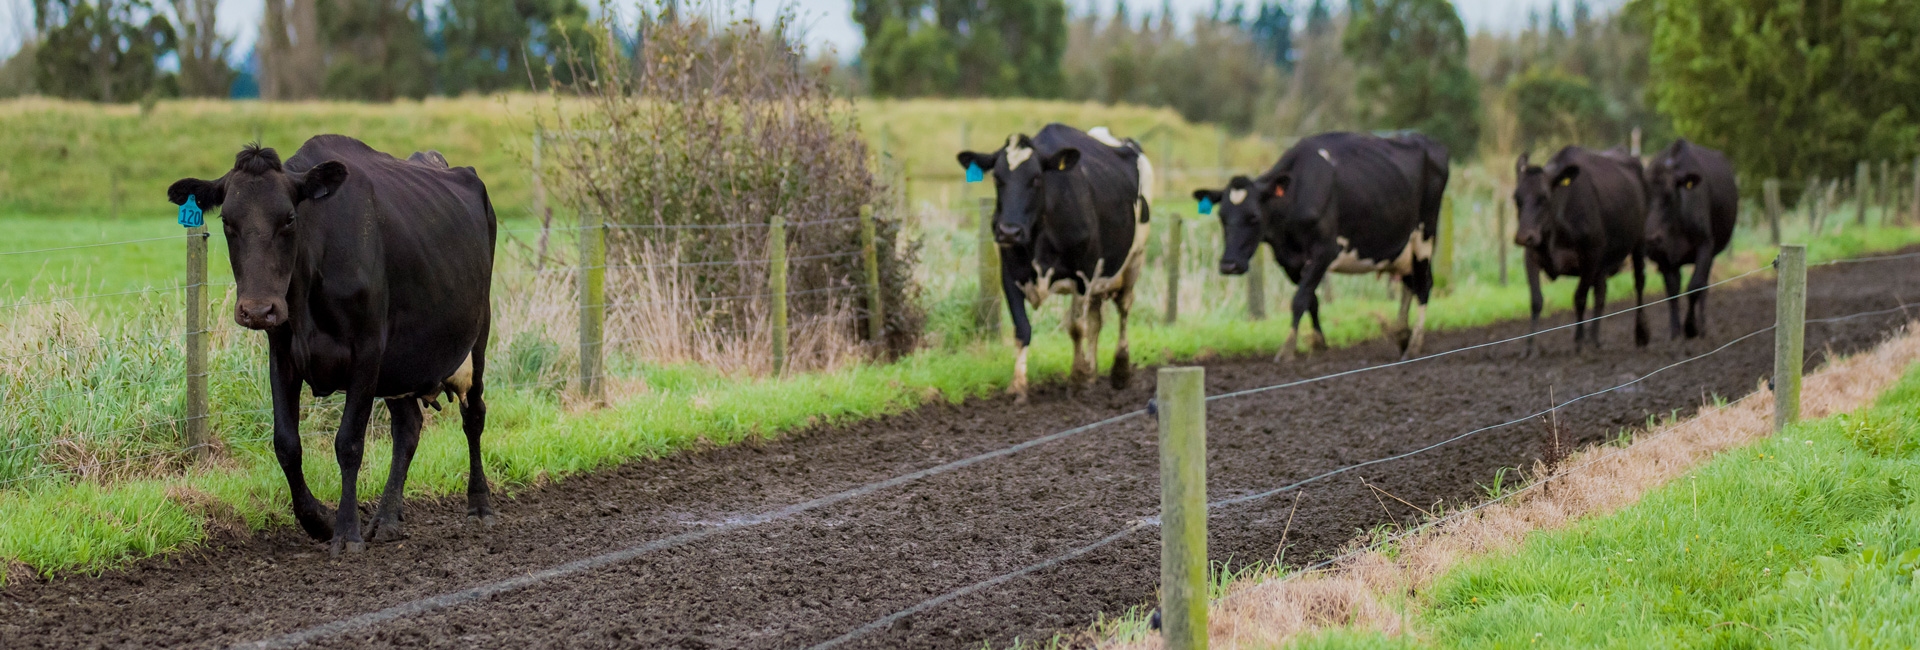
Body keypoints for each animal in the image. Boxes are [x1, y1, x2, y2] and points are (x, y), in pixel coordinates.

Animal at [168, 137, 495, 556]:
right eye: (227, 221)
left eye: (290, 218)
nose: (258, 310)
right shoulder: (283, 354)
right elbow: (286, 444)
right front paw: (319, 520)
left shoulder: (368, 350)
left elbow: (349, 442)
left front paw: (347, 532)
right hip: (401, 365)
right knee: (408, 427)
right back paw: (387, 518)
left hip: (477, 335)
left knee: (474, 416)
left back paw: (479, 506)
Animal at [960, 124, 1152, 404]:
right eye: (997, 178)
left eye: (1036, 179)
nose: (1009, 231)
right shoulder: (1010, 275)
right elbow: (1022, 329)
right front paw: (1018, 386)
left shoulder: (1083, 275)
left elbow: (1076, 327)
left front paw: (1077, 382)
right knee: (1096, 320)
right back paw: (1092, 371)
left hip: (1134, 260)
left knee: (1124, 308)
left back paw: (1120, 371)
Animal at [1190, 132, 1443, 362]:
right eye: (1222, 217)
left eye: (1253, 217)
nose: (1229, 265)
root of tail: (1424, 139)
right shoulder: (1289, 261)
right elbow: (1310, 299)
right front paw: (1320, 343)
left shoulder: (1324, 251)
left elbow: (1299, 299)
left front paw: (1287, 349)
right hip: (1403, 248)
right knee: (1409, 283)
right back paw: (1402, 335)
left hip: (1425, 236)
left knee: (1424, 285)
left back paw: (1414, 344)